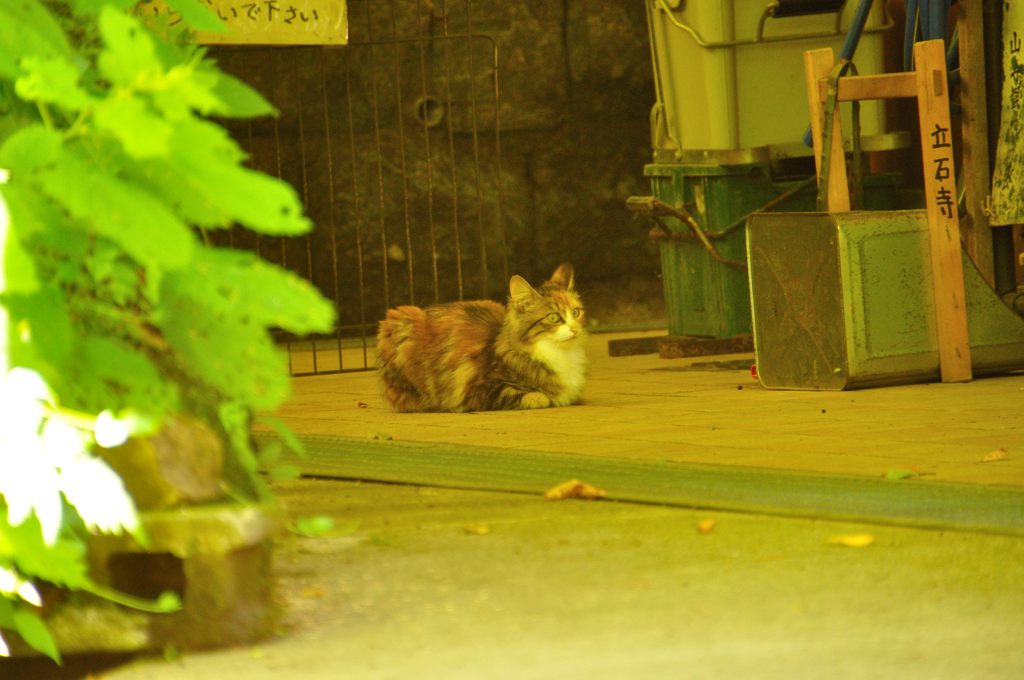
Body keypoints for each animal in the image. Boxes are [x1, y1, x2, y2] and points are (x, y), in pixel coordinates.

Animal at [376, 262, 589, 411]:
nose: (575, 329)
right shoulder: (480, 390)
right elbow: (538, 397)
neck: (561, 354)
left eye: (576, 312)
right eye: (554, 317)